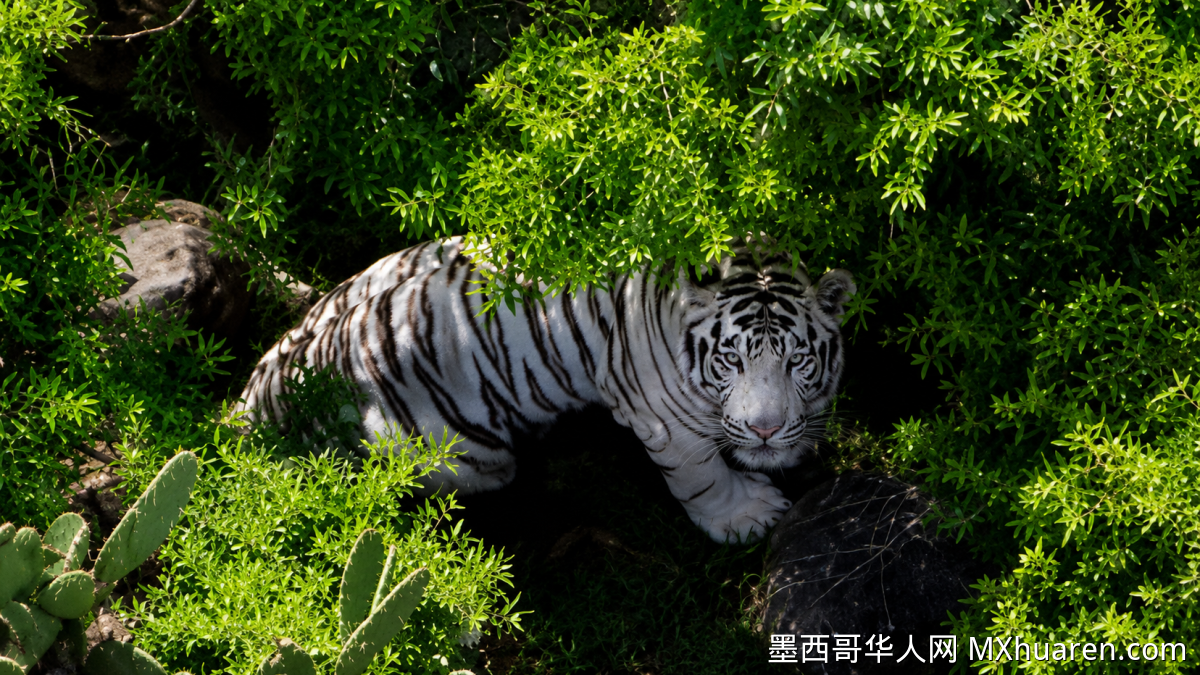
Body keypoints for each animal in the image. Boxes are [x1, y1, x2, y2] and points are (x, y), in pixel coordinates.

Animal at [236, 236, 856, 543]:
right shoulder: (661, 416)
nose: (765, 428)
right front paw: (744, 517)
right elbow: (701, 476)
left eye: (798, 361)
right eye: (731, 360)